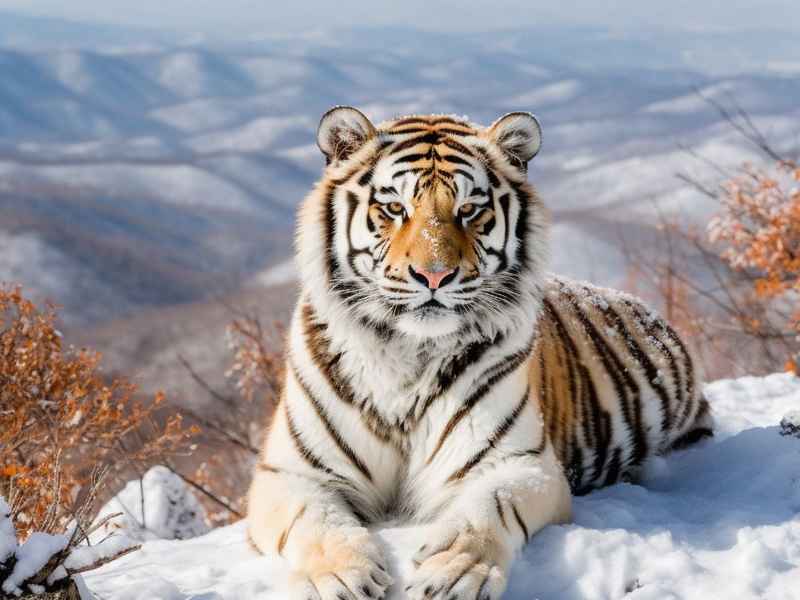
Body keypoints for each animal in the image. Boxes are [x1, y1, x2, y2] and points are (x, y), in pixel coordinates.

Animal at [247, 107, 713, 600]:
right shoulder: (292, 473)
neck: (409, 355)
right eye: (394, 208)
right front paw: (338, 576)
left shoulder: (520, 463)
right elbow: (316, 520)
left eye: (469, 210)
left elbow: (490, 509)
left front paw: (453, 571)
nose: (433, 276)